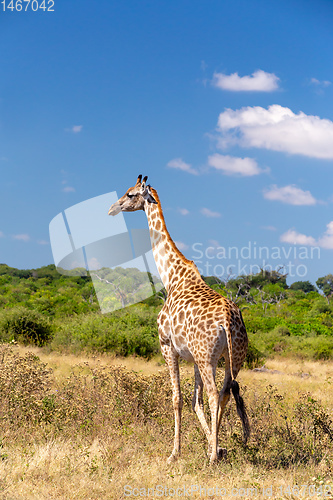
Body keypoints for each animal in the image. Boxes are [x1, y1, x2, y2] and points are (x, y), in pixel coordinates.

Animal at [109, 174, 249, 462]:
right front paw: (215, 445)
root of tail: (228, 321)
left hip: (208, 357)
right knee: (225, 394)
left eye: (130, 194)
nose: (113, 208)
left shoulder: (167, 346)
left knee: (215, 395)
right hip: (233, 358)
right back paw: (215, 451)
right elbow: (195, 402)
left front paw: (175, 453)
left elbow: (177, 398)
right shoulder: (192, 357)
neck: (171, 276)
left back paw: (211, 459)